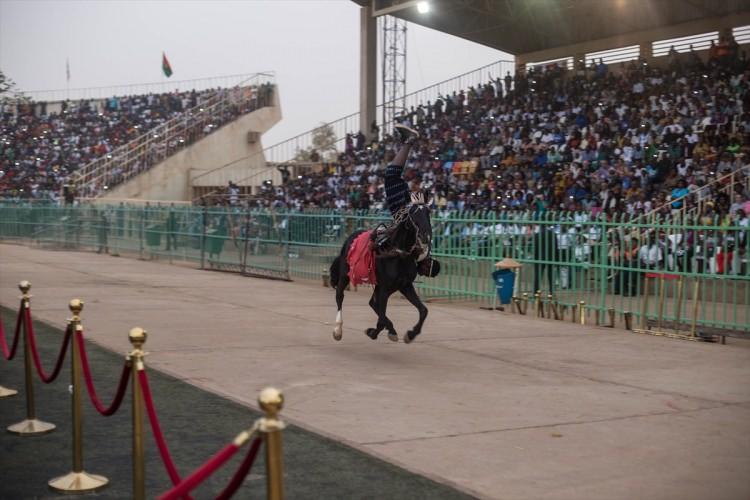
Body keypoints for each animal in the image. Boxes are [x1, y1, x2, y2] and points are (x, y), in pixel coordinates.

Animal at [328, 203, 440, 344]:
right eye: (413, 216)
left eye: (428, 213)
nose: (426, 237)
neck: (397, 255)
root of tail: (350, 237)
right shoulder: (385, 288)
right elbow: (381, 319)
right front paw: (375, 332)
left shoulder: (404, 286)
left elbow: (423, 310)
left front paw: (410, 334)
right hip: (345, 275)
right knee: (340, 296)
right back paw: (338, 330)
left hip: (380, 285)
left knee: (372, 303)